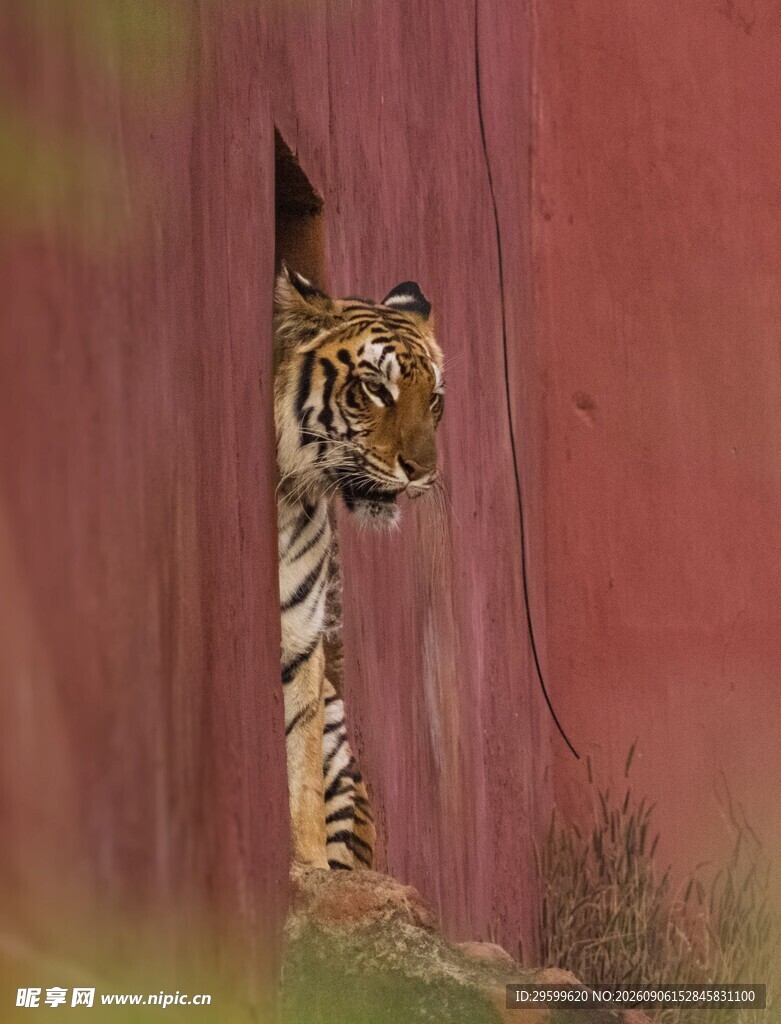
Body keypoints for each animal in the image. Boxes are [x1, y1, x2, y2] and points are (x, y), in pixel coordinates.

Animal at [274, 264, 444, 870]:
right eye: (376, 388)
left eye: (434, 400)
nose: (424, 472)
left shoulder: (301, 642)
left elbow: (299, 779)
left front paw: (310, 870)